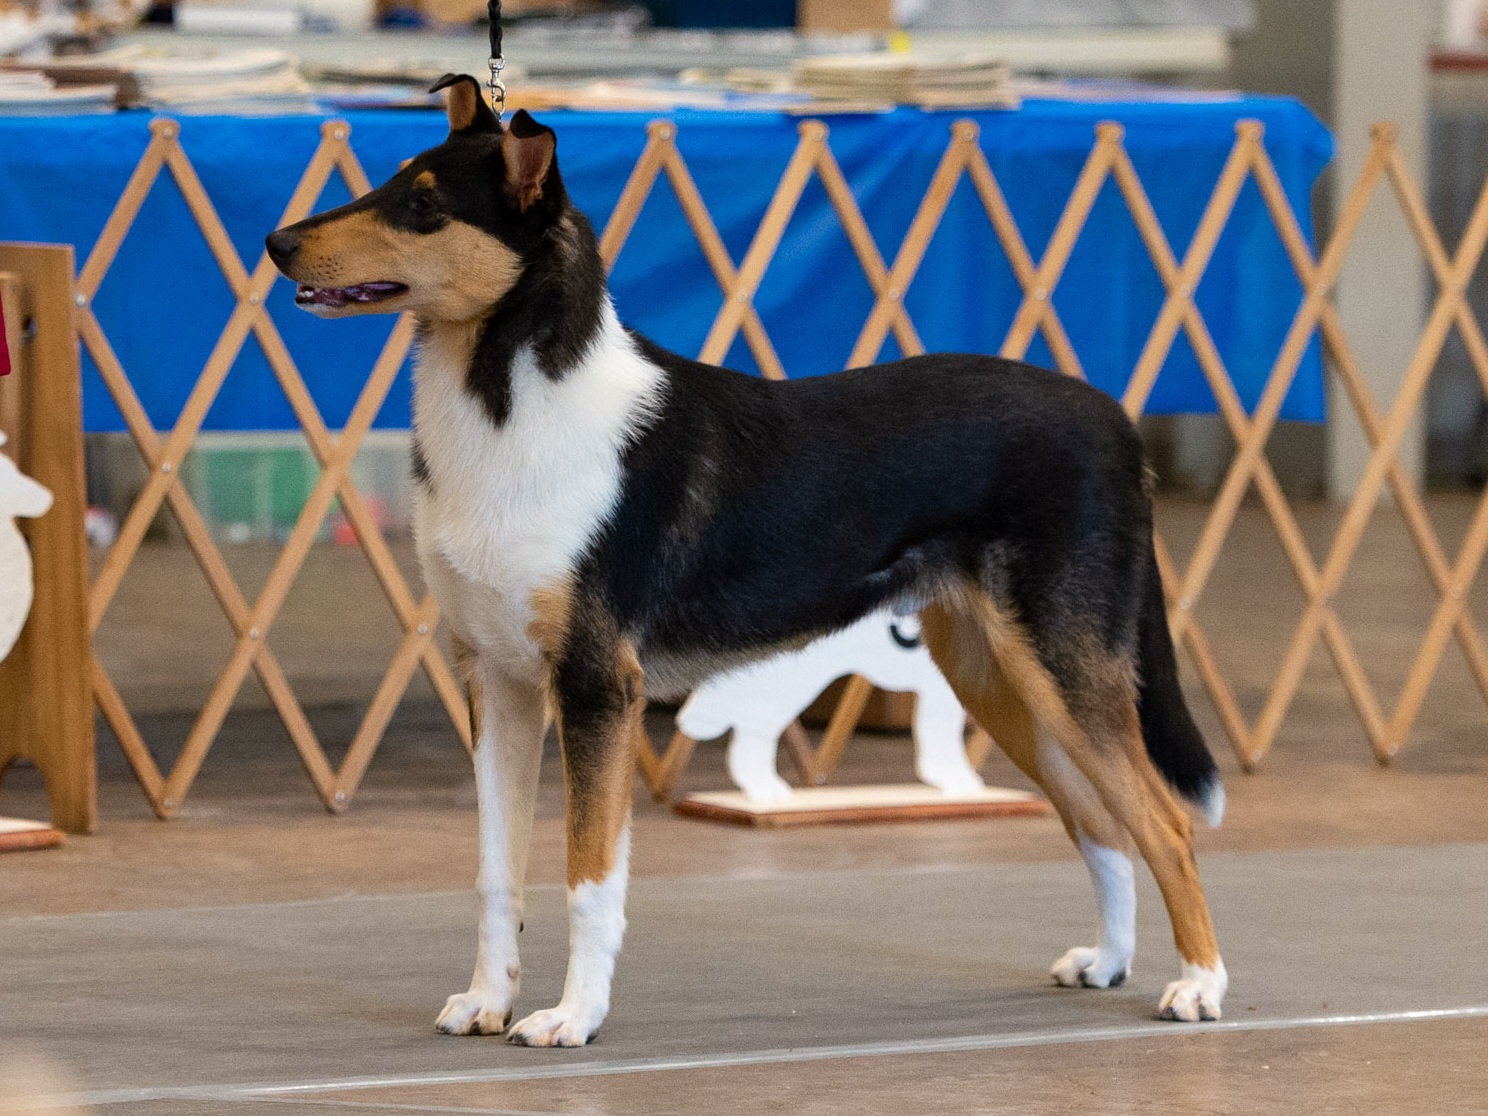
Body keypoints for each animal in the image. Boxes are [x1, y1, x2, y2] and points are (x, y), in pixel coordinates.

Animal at [265, 73, 1228, 1047]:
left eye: (424, 207)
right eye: (389, 181)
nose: (277, 243)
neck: (512, 406)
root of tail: (1116, 420)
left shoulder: (596, 686)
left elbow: (588, 877)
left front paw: (573, 1017)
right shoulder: (496, 682)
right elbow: (496, 872)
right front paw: (488, 1002)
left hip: (1062, 669)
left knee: (1168, 824)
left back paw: (1198, 987)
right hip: (999, 679)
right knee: (1103, 821)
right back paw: (1108, 961)